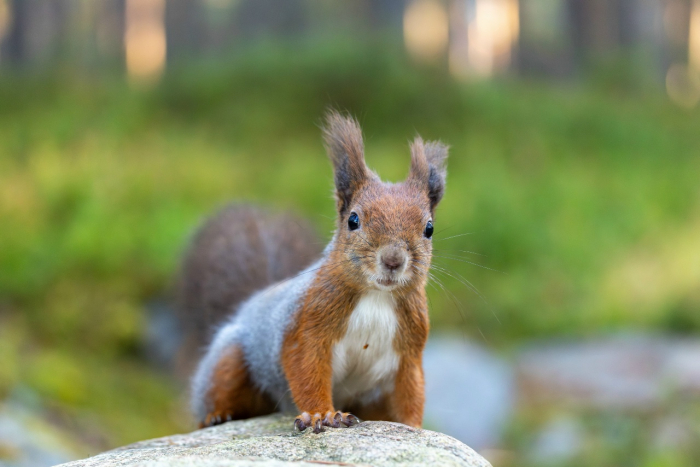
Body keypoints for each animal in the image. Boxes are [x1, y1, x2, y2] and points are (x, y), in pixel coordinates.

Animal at [182, 110, 448, 433]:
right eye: (353, 220)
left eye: (429, 228)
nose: (393, 260)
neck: (377, 296)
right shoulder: (307, 323)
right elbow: (307, 370)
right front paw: (322, 414)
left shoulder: (410, 350)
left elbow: (410, 391)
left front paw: (414, 427)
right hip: (230, 358)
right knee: (220, 390)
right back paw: (218, 415)